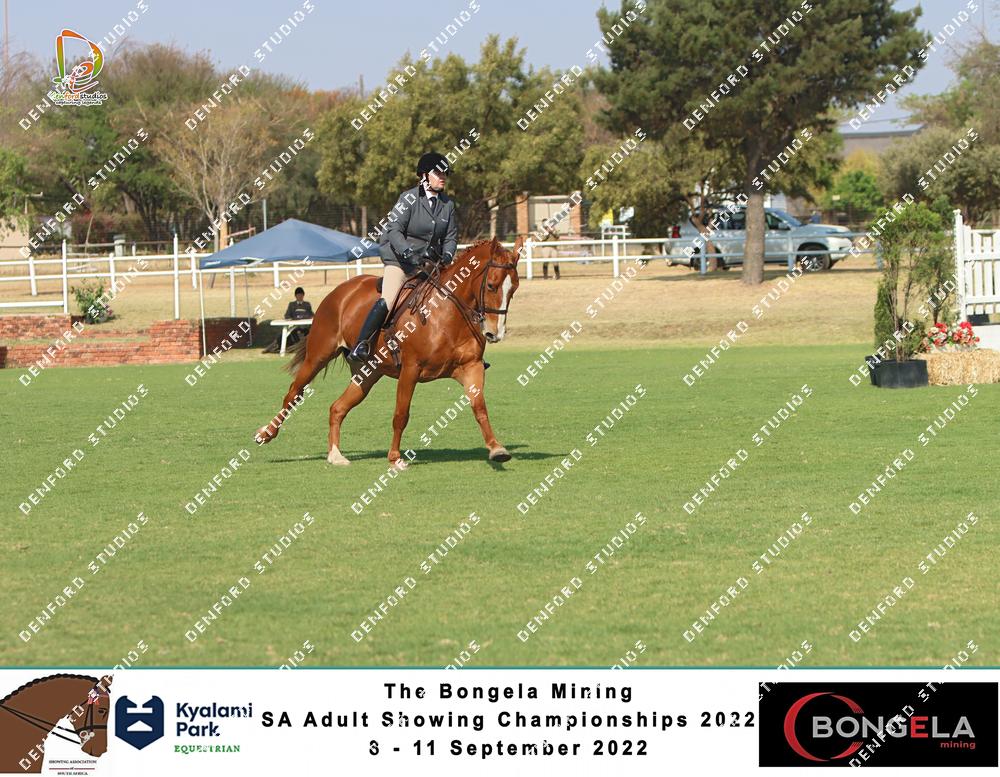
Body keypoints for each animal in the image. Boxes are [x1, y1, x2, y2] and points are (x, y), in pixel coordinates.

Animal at [255, 236, 522, 467]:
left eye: (514, 289)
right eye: (491, 285)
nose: (494, 333)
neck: (448, 315)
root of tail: (342, 290)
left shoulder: (471, 367)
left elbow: (479, 407)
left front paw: (497, 449)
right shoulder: (410, 370)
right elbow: (401, 415)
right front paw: (394, 457)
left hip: (367, 374)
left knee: (337, 408)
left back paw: (335, 455)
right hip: (318, 355)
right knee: (294, 392)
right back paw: (266, 433)